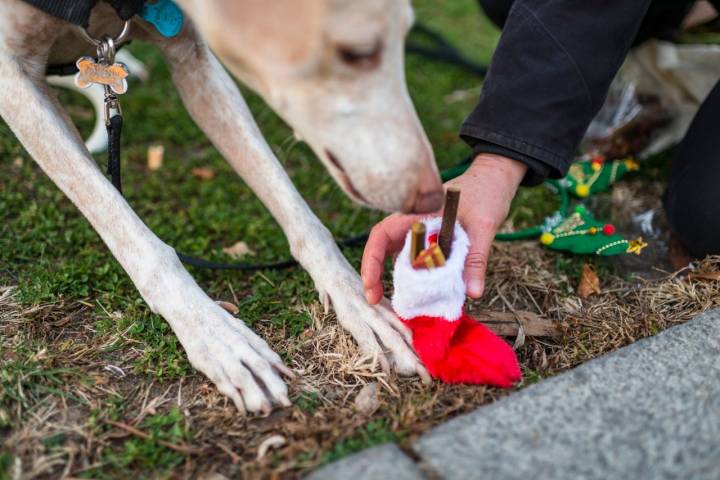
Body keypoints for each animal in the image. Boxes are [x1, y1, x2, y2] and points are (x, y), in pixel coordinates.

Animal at [0, 0, 442, 412]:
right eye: (357, 52)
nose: (432, 195)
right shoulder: (15, 82)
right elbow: (126, 228)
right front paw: (217, 335)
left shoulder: (194, 56)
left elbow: (289, 199)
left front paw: (360, 303)